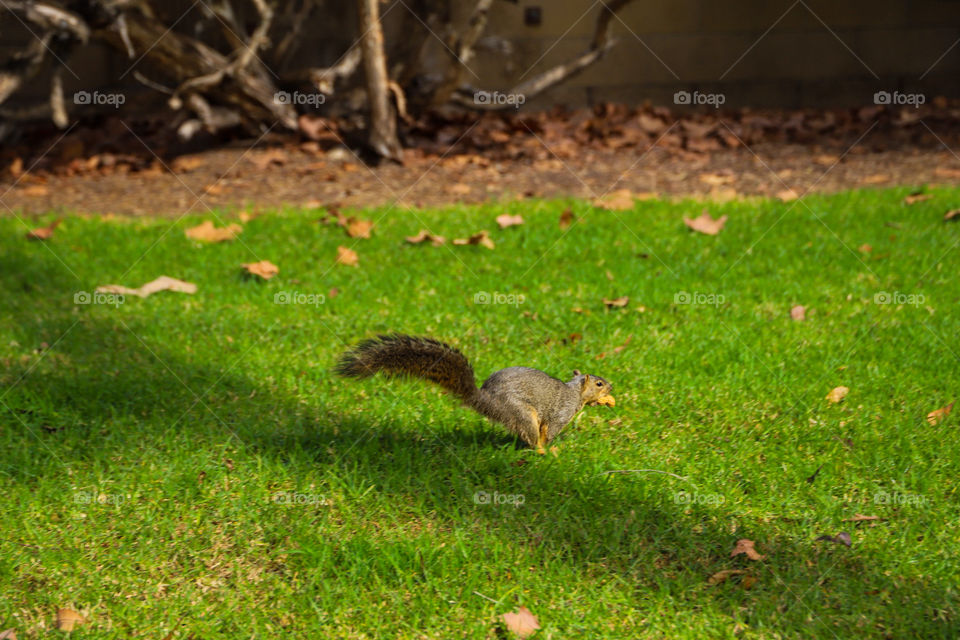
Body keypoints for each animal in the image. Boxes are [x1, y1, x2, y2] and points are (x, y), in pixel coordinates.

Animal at [334, 334, 615, 453]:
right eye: (599, 383)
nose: (612, 387)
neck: (575, 392)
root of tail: (486, 400)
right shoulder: (561, 413)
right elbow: (551, 430)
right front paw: (551, 446)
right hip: (521, 411)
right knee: (530, 435)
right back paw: (541, 451)